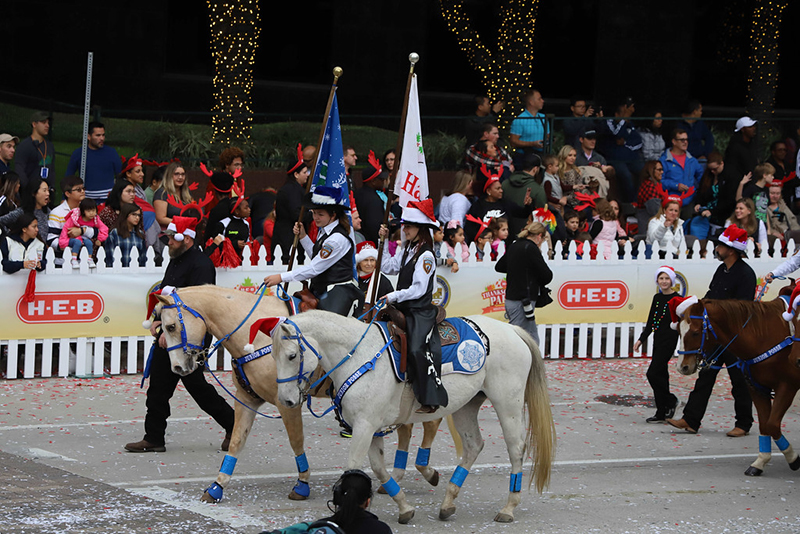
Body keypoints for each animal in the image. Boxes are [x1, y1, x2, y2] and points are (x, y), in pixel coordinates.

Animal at [264, 312, 556, 524]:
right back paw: (448, 502)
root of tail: (511, 330)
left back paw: (508, 508)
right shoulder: (370, 428)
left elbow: (353, 468)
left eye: (292, 355)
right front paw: (404, 507)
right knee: (474, 445)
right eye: (274, 356)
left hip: (508, 404)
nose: (286, 400)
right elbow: (379, 469)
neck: (359, 357)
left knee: (516, 449)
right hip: (466, 406)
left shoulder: (364, 427)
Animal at [676, 298, 800, 478]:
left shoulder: (787, 386)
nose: (682, 367)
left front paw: (793, 459)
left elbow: (772, 425)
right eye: (679, 330)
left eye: (695, 332)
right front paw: (760, 462)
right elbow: (765, 425)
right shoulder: (757, 389)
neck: (765, 336)